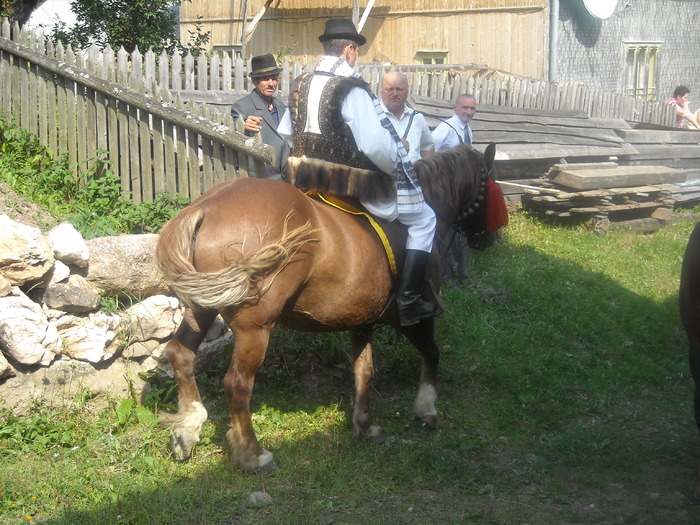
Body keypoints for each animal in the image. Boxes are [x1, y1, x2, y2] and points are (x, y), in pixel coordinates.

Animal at [156, 142, 506, 470]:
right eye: (489, 183)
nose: (489, 239)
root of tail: (206, 205)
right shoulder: (416, 319)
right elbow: (432, 355)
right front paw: (426, 409)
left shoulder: (362, 321)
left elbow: (364, 371)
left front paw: (365, 425)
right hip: (254, 327)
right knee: (237, 384)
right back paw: (253, 454)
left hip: (202, 309)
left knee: (181, 354)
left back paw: (187, 429)